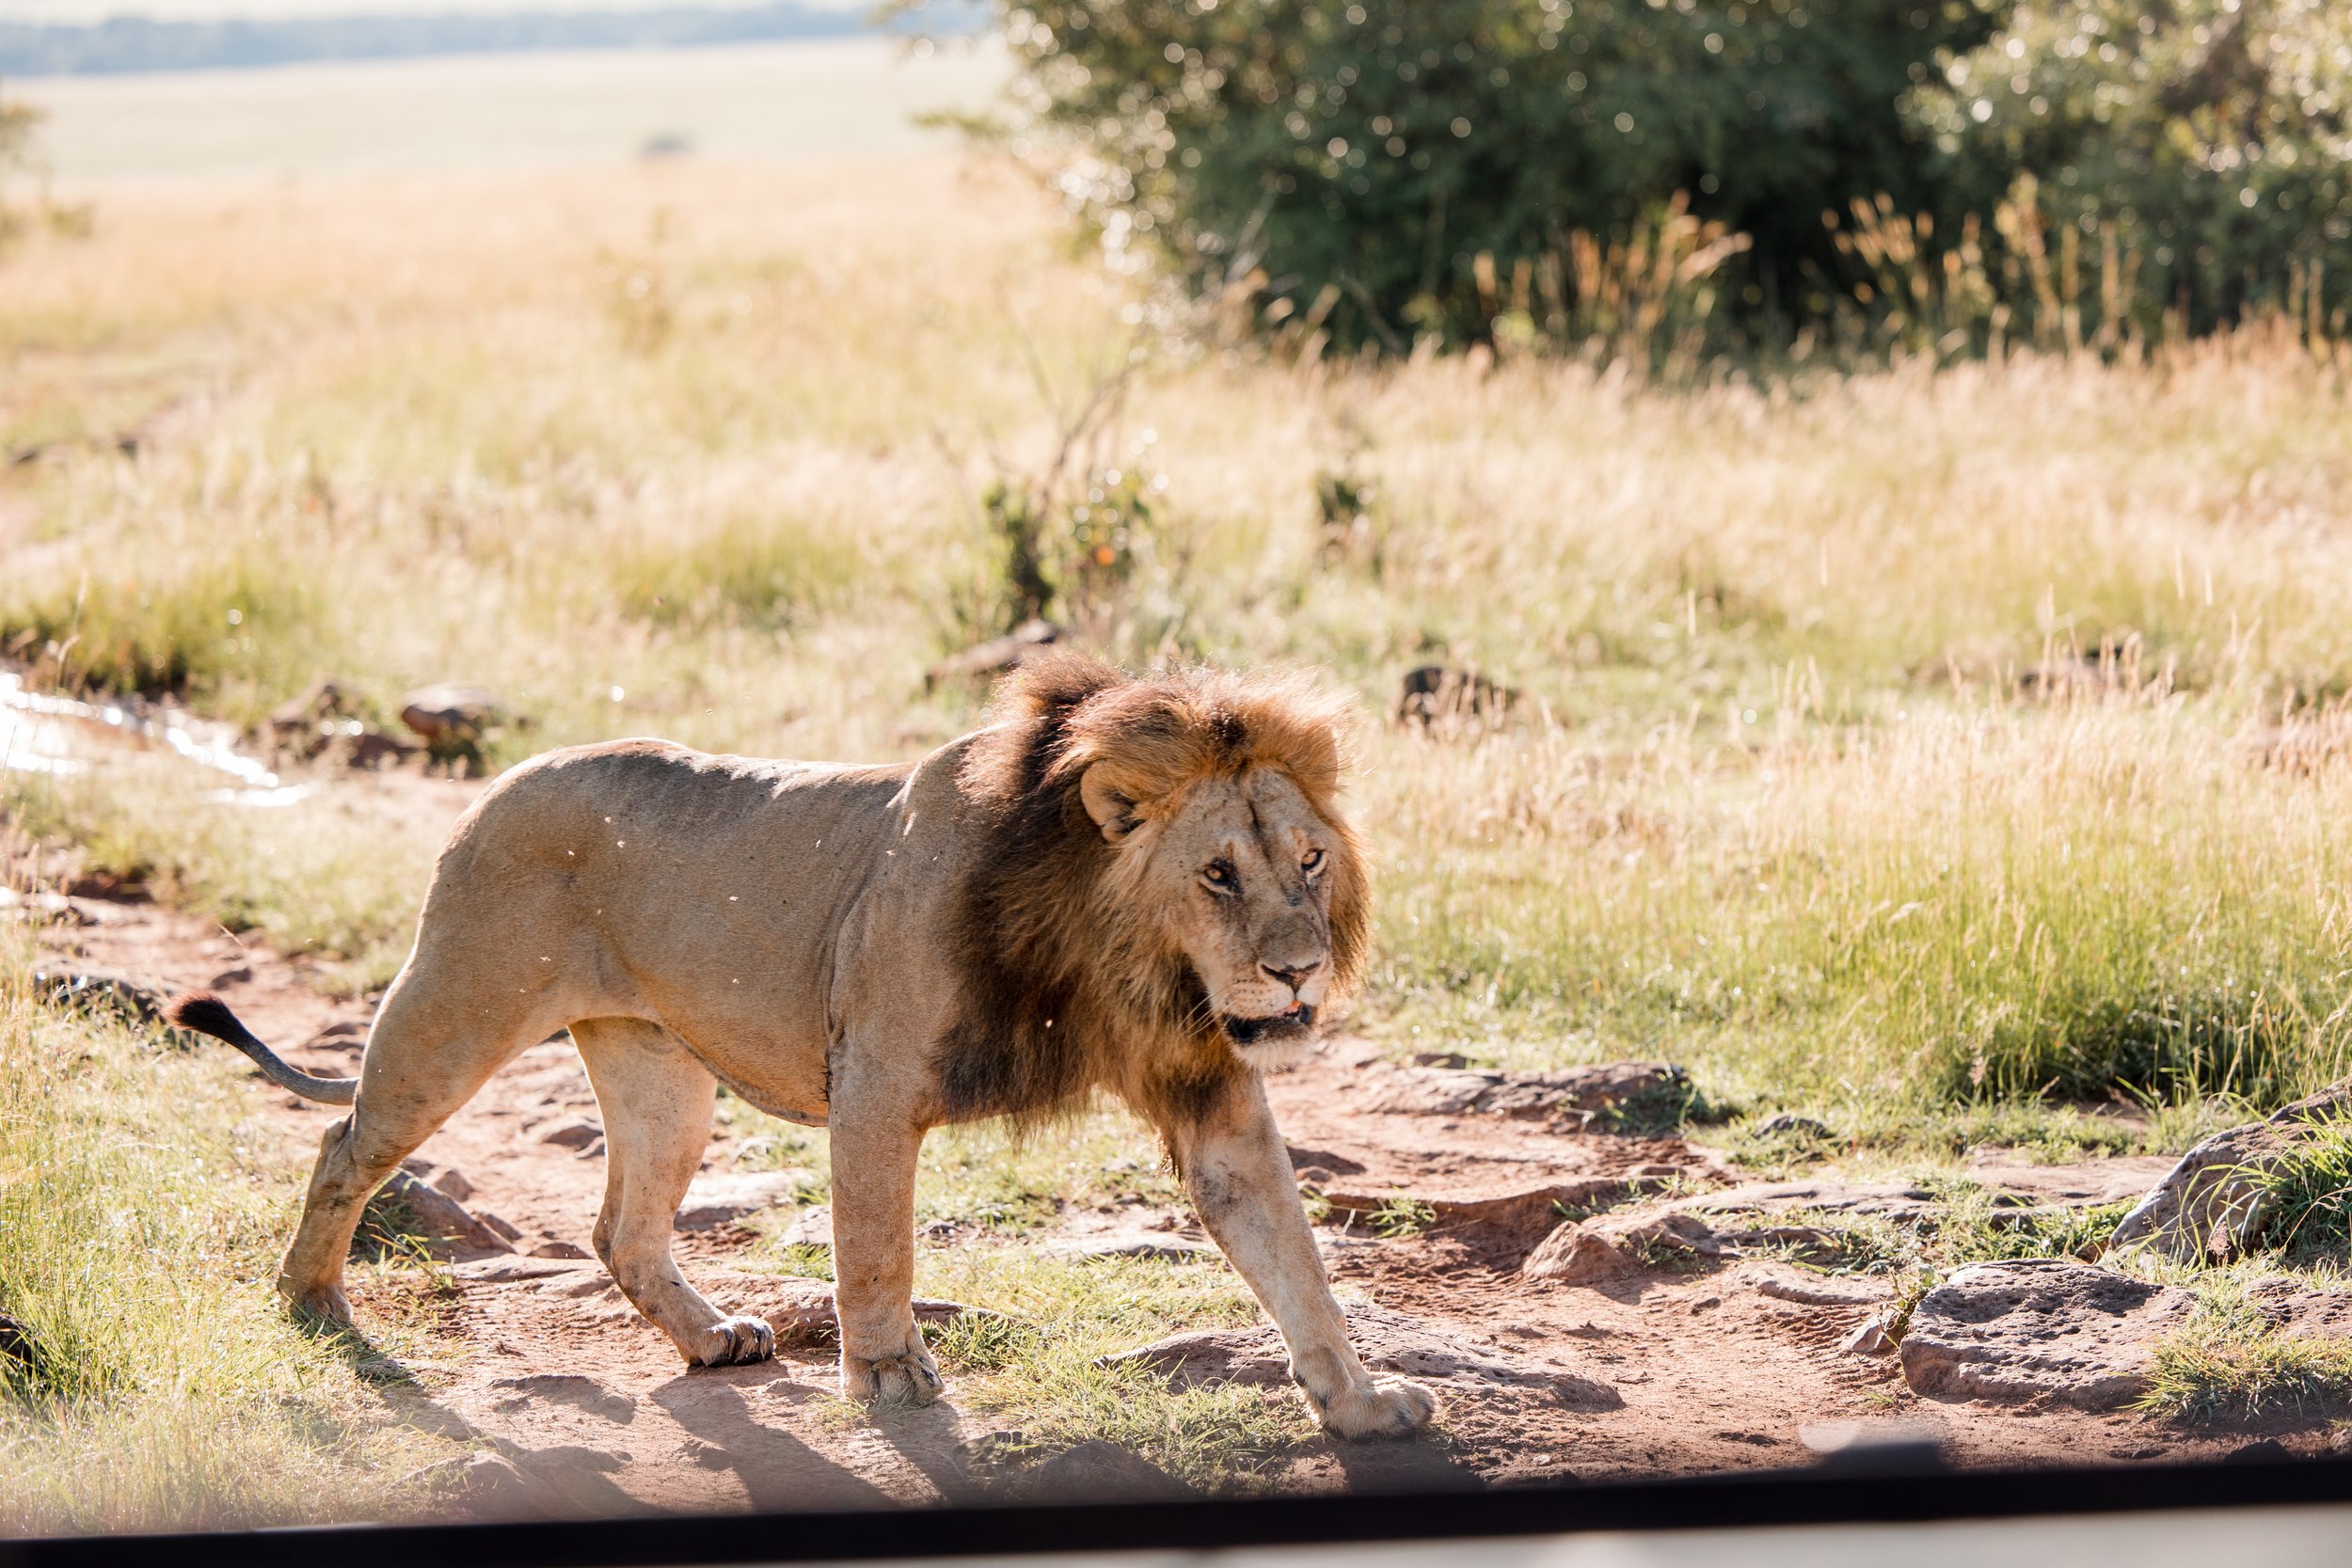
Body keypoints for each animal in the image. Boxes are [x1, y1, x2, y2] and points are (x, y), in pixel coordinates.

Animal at [166, 657, 1430, 1438]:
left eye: (1308, 861)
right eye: (1216, 872)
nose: (1298, 971)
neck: (1117, 955)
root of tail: (501, 780)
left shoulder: (1210, 1087)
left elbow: (1293, 1258)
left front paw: (1360, 1402)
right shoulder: (872, 1079)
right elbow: (876, 1249)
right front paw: (889, 1378)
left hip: (659, 1072)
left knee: (620, 1225)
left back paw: (711, 1336)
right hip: (455, 1008)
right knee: (345, 1141)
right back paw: (313, 1301)